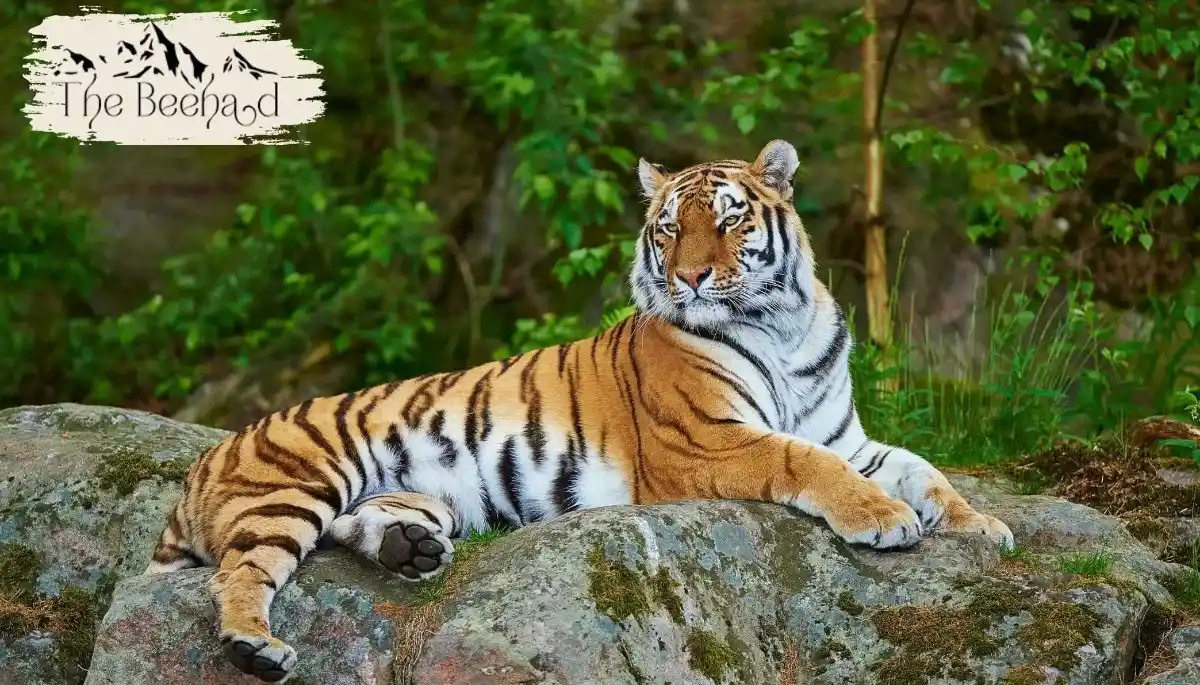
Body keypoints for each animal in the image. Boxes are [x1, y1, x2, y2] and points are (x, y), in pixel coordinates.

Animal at [144, 139, 1014, 683]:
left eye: (729, 218)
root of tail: (204, 461)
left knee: (359, 526)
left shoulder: (845, 432)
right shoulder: (706, 442)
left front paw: (981, 526)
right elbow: (807, 462)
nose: (691, 276)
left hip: (416, 496)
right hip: (294, 485)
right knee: (239, 571)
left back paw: (409, 551)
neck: (782, 322)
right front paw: (885, 518)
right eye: (670, 228)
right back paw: (255, 646)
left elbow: (921, 468)